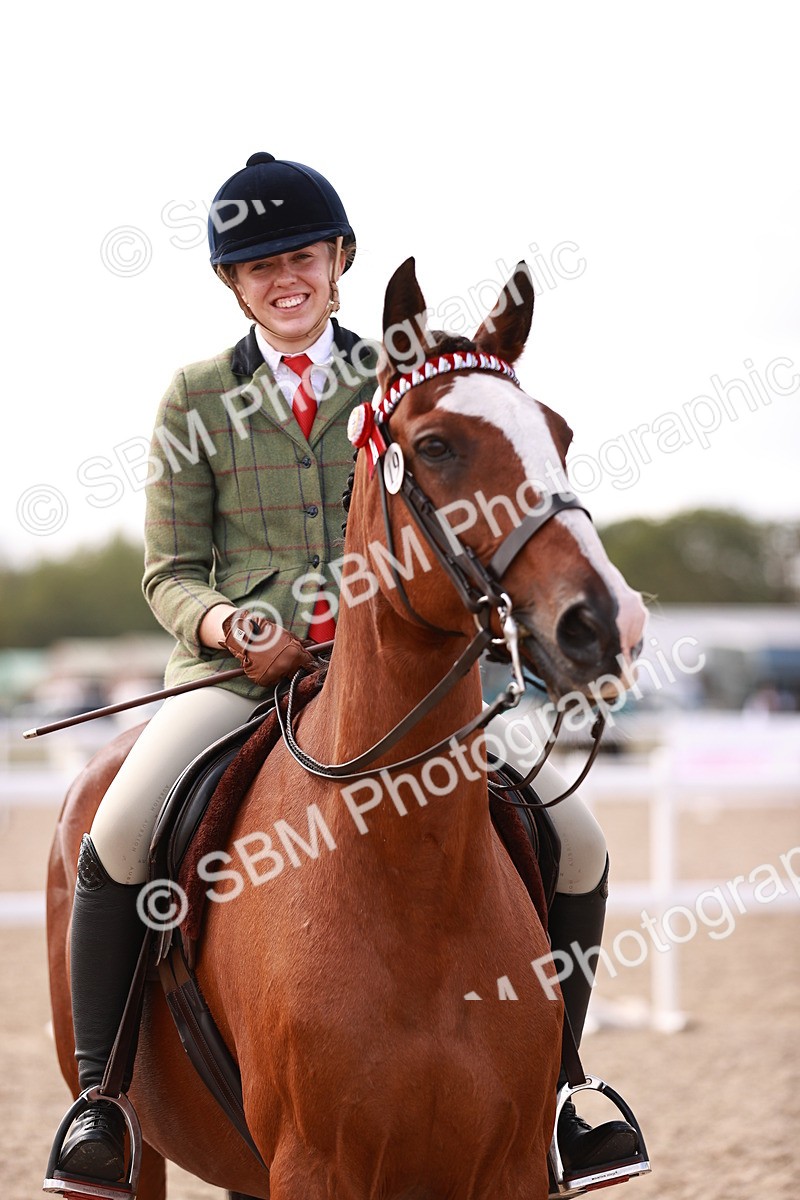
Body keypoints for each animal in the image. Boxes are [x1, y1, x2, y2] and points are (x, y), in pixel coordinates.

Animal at [47, 257, 647, 1200]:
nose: (605, 623)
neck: (413, 882)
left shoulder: (507, 1165)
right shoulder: (315, 1166)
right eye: (435, 445)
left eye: (560, 432)